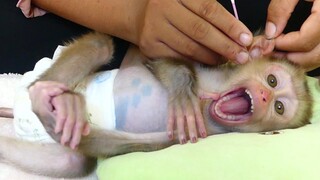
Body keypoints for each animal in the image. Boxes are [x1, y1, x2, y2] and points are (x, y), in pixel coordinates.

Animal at [0, 32, 312, 177]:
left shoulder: (197, 137)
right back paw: (46, 93)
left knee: (73, 161)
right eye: (272, 80)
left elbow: (138, 144)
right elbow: (154, 56)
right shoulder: (212, 67)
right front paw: (182, 85)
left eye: (279, 107)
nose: (264, 96)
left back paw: (52, 108)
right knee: (102, 46)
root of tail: (21, 109)